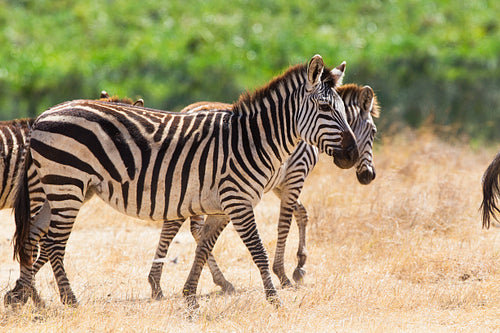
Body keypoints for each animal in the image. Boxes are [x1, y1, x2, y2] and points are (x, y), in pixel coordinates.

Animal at [146, 81, 380, 296]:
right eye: (373, 131)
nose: (369, 176)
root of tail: (187, 110)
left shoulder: (278, 183)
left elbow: (301, 213)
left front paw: (300, 265)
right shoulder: (296, 174)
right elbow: (285, 223)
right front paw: (285, 274)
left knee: (186, 226)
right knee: (182, 225)